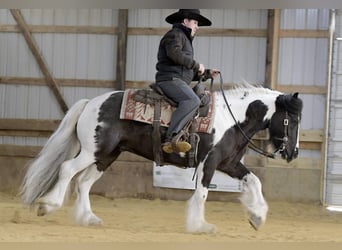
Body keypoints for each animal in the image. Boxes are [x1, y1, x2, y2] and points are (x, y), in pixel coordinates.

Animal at [19, 84, 302, 234]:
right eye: (291, 119)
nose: (293, 153)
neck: (231, 118)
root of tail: (91, 103)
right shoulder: (208, 163)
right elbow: (202, 194)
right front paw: (199, 225)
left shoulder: (229, 164)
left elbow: (255, 181)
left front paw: (257, 217)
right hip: (93, 151)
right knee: (67, 170)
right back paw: (48, 205)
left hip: (107, 155)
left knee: (84, 183)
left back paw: (89, 218)